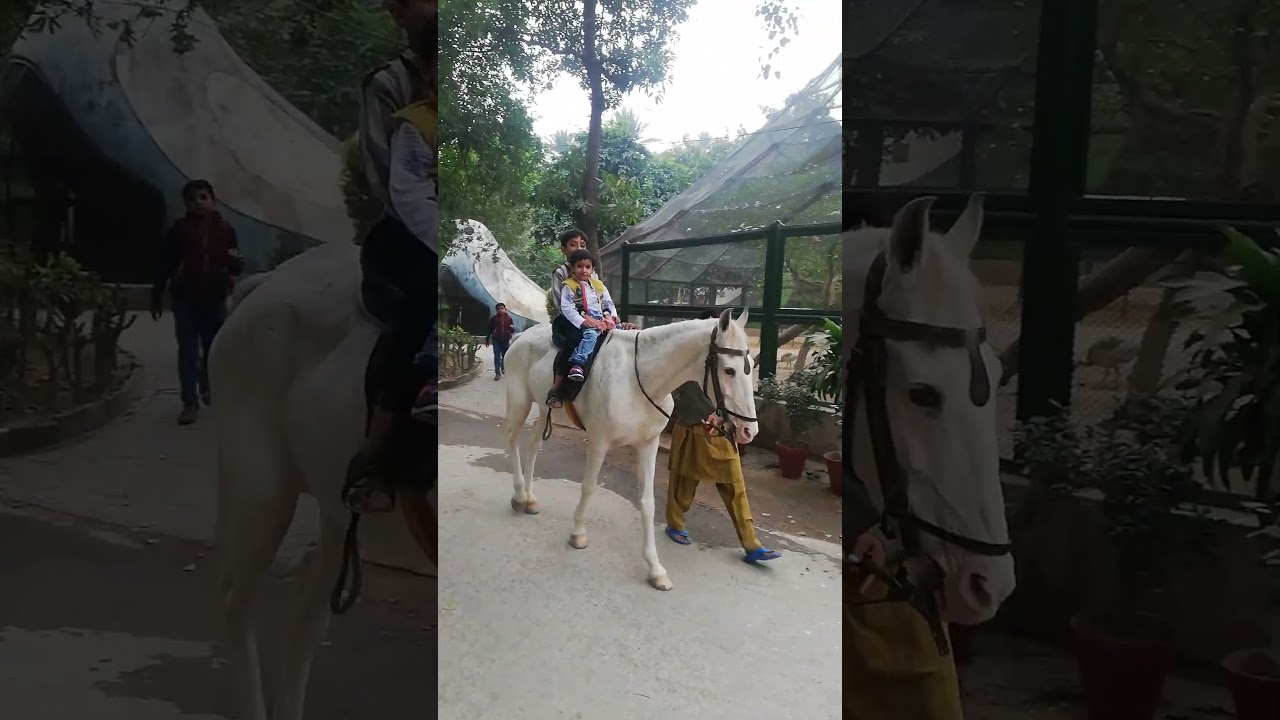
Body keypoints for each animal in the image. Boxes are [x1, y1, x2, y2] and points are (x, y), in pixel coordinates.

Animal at [501, 307, 760, 591]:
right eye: (729, 370)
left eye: (751, 366)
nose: (749, 430)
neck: (638, 381)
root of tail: (521, 337)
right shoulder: (599, 441)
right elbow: (588, 487)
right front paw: (578, 533)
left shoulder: (648, 445)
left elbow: (647, 503)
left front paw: (655, 569)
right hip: (520, 401)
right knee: (512, 439)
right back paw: (519, 495)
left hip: (542, 406)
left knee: (533, 445)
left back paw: (530, 498)